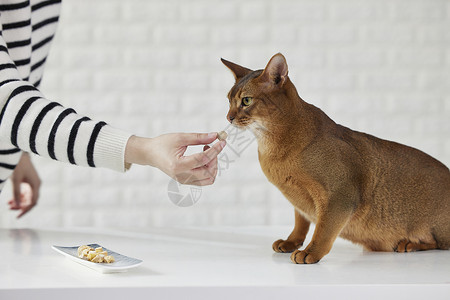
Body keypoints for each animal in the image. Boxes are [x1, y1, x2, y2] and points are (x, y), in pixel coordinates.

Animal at [221, 53, 450, 262]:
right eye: (229, 101)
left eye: (246, 100)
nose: (229, 117)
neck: (272, 145)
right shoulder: (299, 200)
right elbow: (300, 222)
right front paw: (291, 242)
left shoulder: (339, 196)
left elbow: (324, 229)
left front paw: (310, 253)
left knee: (439, 243)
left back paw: (409, 244)